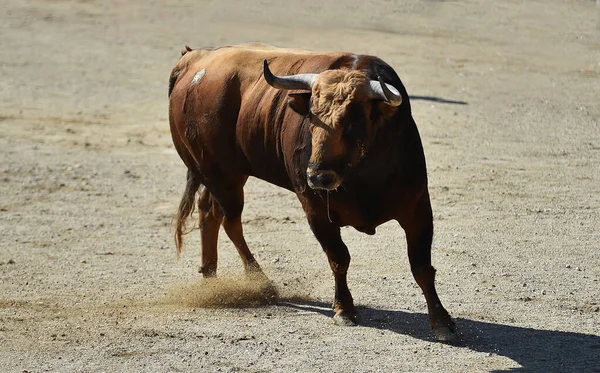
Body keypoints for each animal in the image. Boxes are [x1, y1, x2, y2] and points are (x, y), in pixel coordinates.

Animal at [168, 42, 454, 340]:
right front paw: (344, 309)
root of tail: (195, 58)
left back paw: (210, 275)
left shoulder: (418, 207)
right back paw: (260, 281)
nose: (317, 176)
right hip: (223, 176)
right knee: (229, 219)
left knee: (209, 212)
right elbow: (339, 258)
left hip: (220, 174)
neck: (363, 175)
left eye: (353, 122)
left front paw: (441, 321)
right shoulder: (316, 210)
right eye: (312, 117)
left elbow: (421, 266)